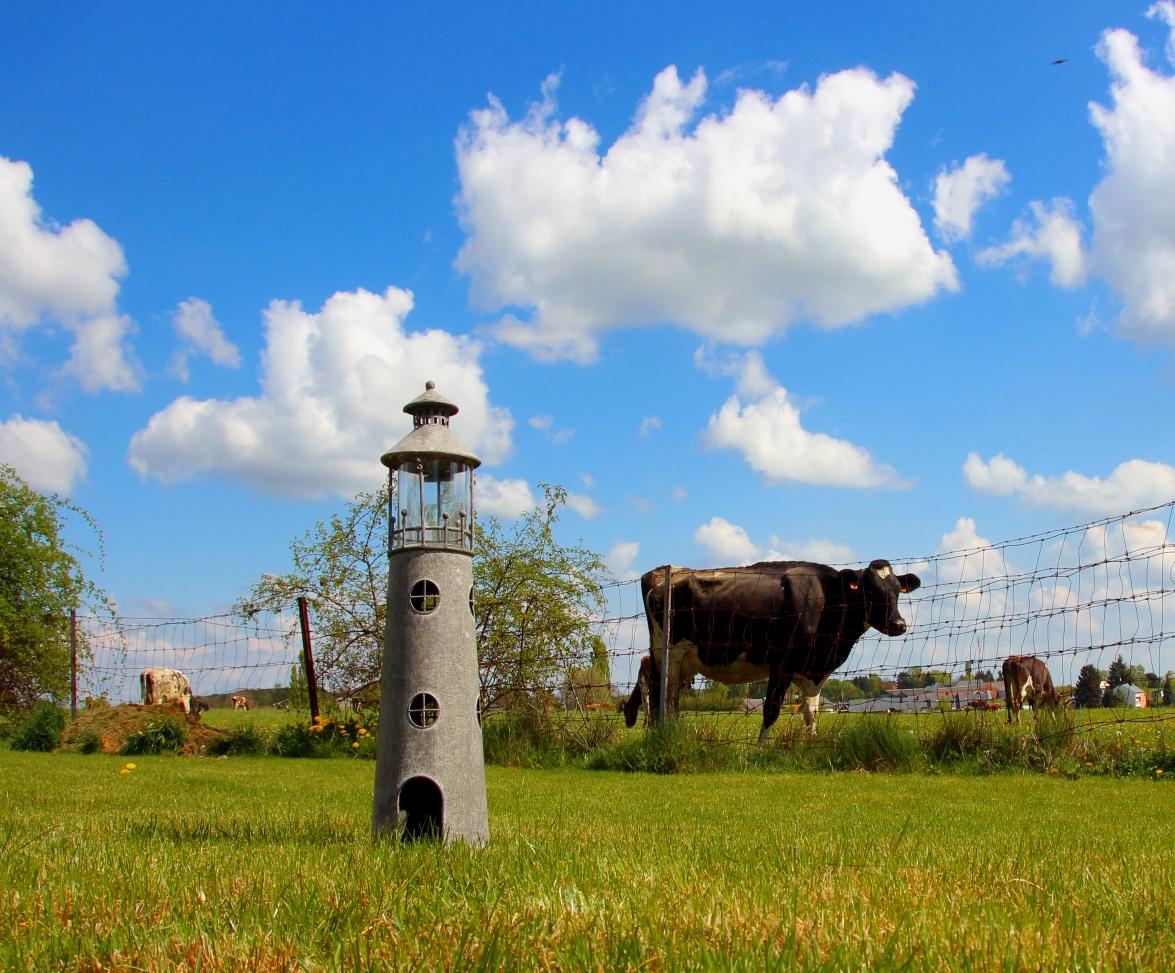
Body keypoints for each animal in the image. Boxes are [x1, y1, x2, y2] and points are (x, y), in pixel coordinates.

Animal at [620, 559, 921, 742]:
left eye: (897, 591)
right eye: (870, 590)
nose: (899, 624)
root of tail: (662, 572)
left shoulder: (811, 669)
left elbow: (811, 712)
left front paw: (813, 743)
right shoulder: (783, 663)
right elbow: (772, 709)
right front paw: (761, 747)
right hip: (669, 654)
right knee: (665, 701)